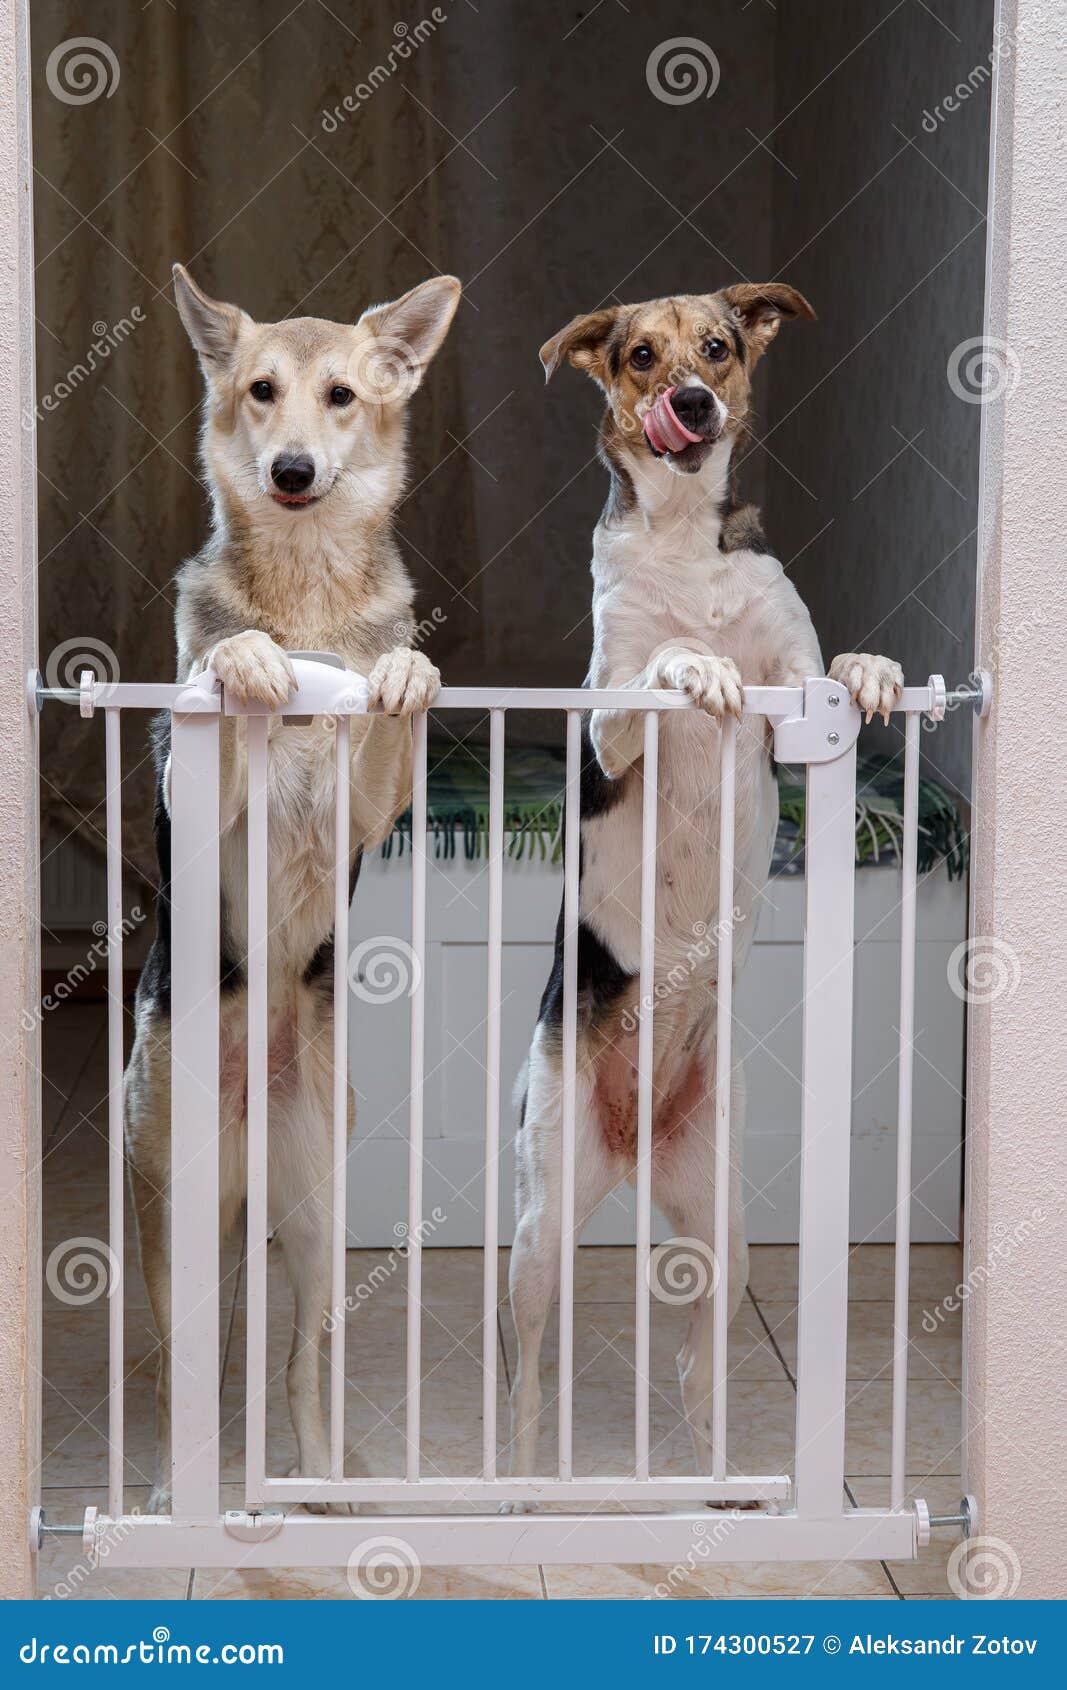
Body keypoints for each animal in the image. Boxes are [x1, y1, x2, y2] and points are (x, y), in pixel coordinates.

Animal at [125, 267, 459, 1521]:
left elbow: (388, 709)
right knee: (181, 1372)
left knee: (300, 1368)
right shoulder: (199, 802)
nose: (293, 472)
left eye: (342, 397)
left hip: (315, 1224)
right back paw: (175, 1495)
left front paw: (402, 673)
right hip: (175, 1218)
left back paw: (319, 1487)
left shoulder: (364, 812)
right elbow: (225, 676)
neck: (308, 591)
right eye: (261, 392)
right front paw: (250, 661)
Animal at [510, 287, 899, 1480]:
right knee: (525, 1379)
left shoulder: (797, 703)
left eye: (718, 348)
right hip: (538, 1226)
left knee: (692, 1368)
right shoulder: (604, 722)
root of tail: (630, 1145)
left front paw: (875, 671)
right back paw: (519, 1476)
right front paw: (695, 665)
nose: (688, 400)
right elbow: (658, 669)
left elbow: (828, 674)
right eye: (639, 355)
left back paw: (712, 1474)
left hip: (721, 1235)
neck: (684, 535)